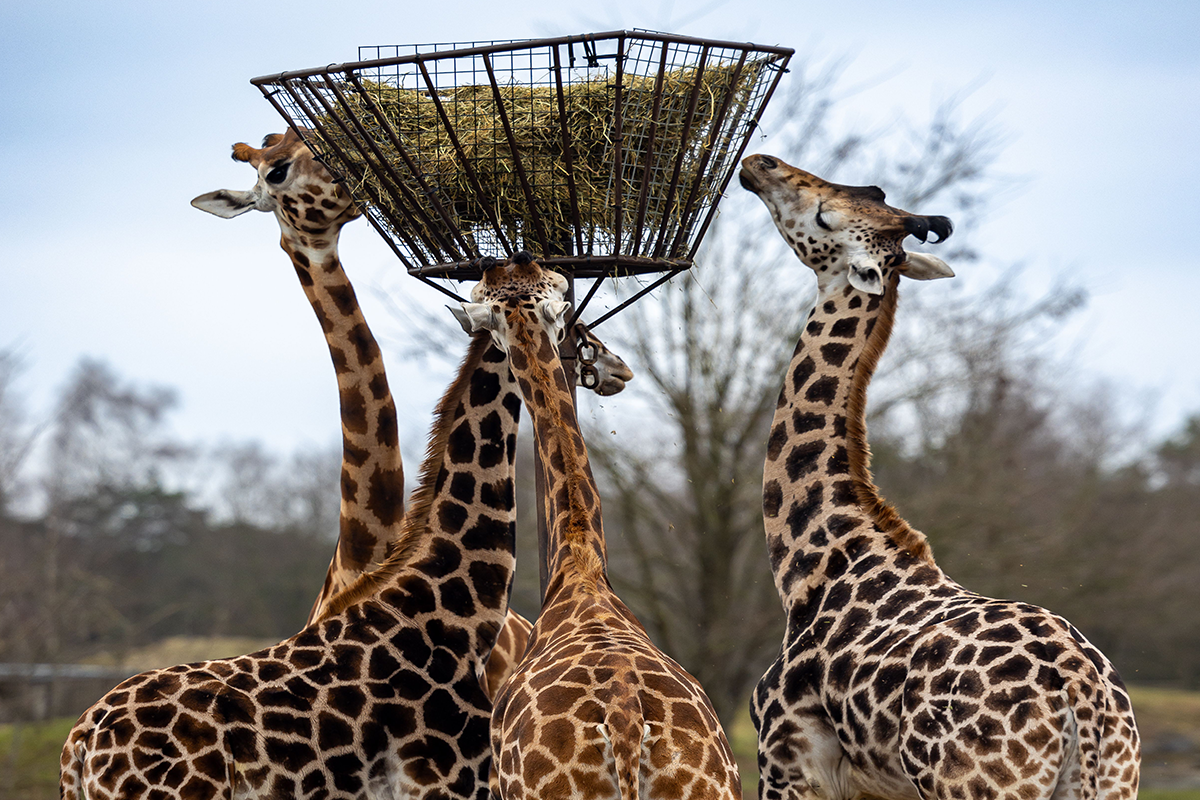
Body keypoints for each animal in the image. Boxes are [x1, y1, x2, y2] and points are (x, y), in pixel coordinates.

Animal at [738, 153, 1140, 800]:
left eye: (823, 216)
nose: (759, 163)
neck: (811, 568)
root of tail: (1084, 696)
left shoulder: (786, 758)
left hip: (974, 784)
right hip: (1113, 779)